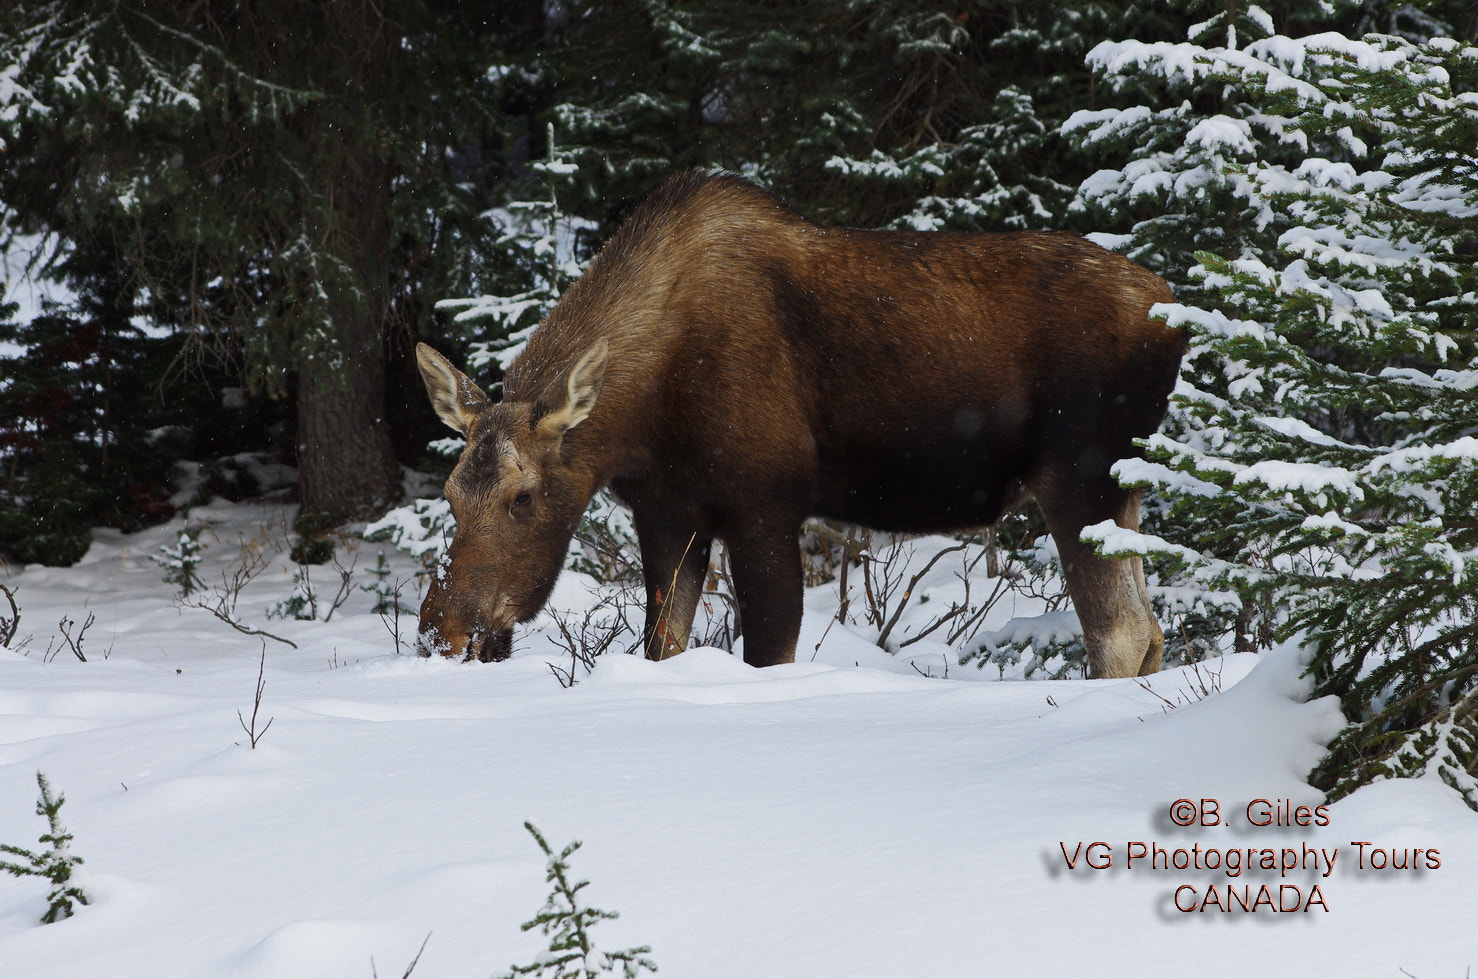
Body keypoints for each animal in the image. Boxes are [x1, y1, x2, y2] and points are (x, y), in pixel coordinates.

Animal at [416, 172, 1188, 680]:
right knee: (1150, 629)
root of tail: (1174, 312)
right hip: (1121, 488)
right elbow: (664, 645)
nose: (444, 635)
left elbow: (769, 648)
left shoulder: (764, 504)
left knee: (1119, 634)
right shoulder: (668, 513)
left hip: (1080, 476)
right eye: (450, 495)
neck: (641, 420)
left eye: (523, 496)